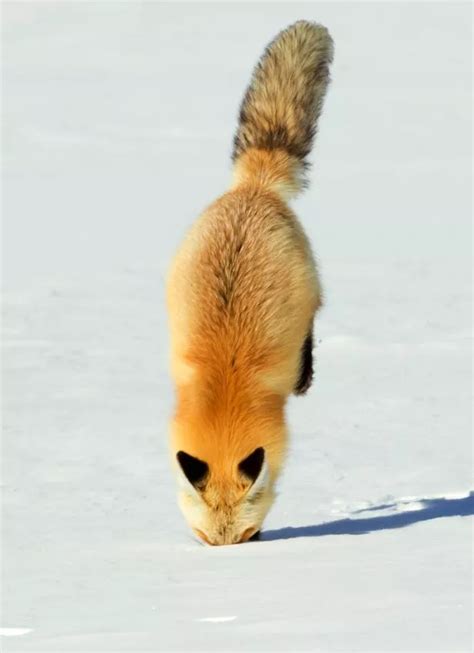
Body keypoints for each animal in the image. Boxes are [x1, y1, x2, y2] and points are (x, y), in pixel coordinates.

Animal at [167, 20, 334, 544]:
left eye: (247, 535)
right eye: (205, 539)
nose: (228, 558)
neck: (225, 389)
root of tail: (256, 185)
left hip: (311, 294)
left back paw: (306, 374)